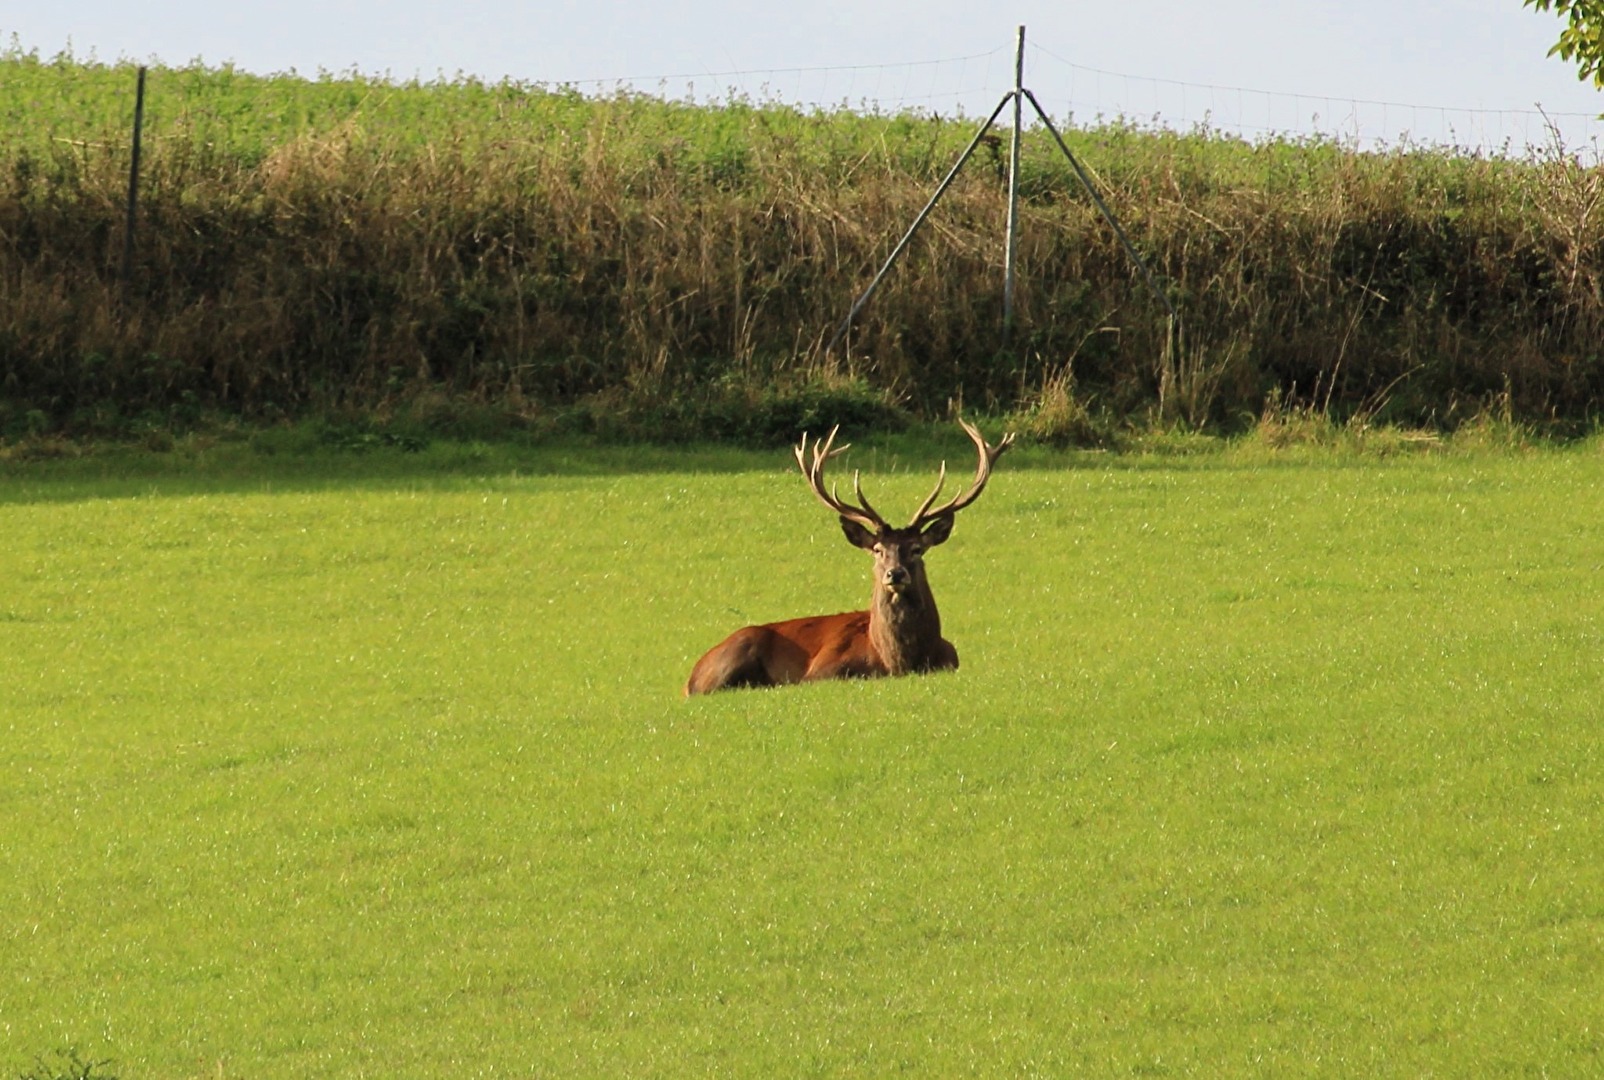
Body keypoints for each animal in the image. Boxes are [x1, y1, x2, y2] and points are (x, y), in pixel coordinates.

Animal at [686, 417, 1013, 696]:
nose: (895, 573)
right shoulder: (819, 671)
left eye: (917, 549)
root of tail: (692, 675)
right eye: (878, 550)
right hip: (736, 653)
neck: (896, 662)